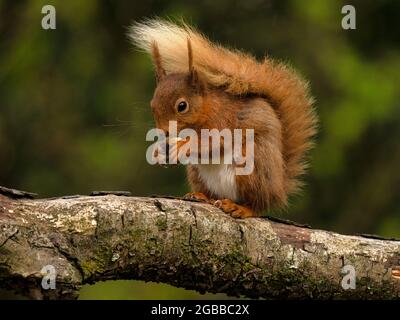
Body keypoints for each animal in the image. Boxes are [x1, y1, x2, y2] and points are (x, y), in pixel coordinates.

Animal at [130, 19, 318, 218]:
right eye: (152, 105)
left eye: (182, 106)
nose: (164, 132)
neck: (206, 108)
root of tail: (278, 189)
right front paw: (158, 152)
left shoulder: (222, 120)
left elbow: (213, 142)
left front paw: (182, 146)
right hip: (197, 173)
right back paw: (201, 196)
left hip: (252, 168)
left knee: (256, 204)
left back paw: (240, 207)